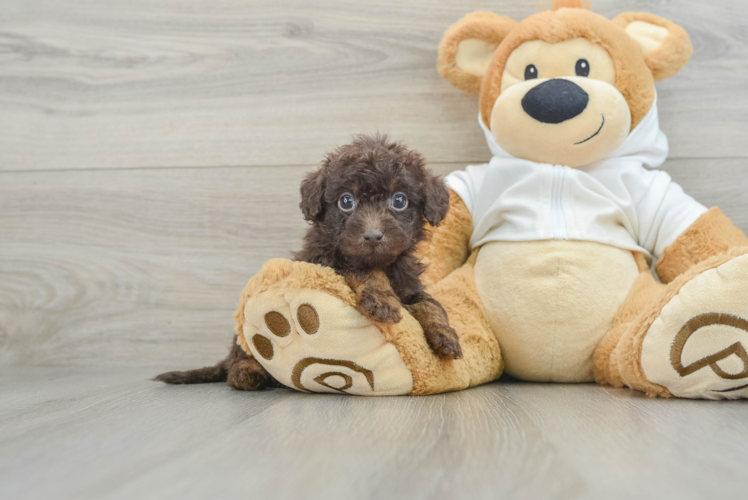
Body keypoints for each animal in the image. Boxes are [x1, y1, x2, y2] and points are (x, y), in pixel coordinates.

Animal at [156, 136, 462, 390]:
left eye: (399, 200)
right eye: (346, 201)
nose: (373, 236)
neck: (385, 264)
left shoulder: (411, 286)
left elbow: (431, 305)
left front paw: (446, 336)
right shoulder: (330, 261)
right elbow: (364, 269)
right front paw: (383, 300)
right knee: (239, 355)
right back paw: (247, 372)